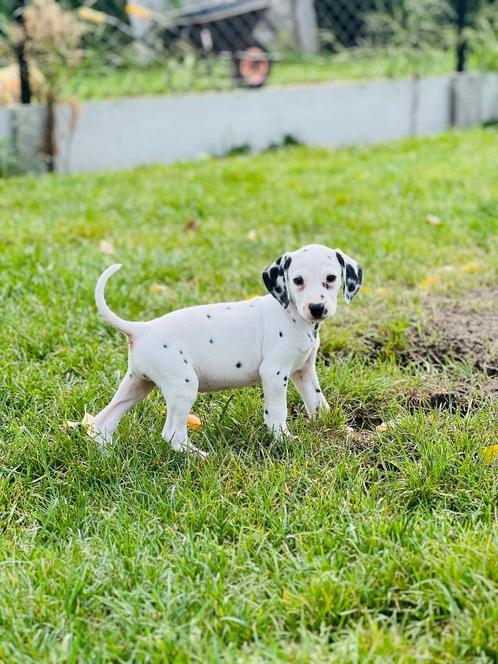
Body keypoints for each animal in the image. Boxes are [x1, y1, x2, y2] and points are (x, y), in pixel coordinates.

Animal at [93, 244, 362, 456]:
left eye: (331, 278)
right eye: (298, 280)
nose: (317, 308)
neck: (291, 313)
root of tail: (141, 329)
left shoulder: (303, 371)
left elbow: (318, 402)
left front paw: (336, 427)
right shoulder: (274, 373)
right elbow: (278, 412)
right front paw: (284, 440)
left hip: (137, 384)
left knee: (102, 422)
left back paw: (107, 457)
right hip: (182, 386)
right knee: (172, 435)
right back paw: (200, 457)